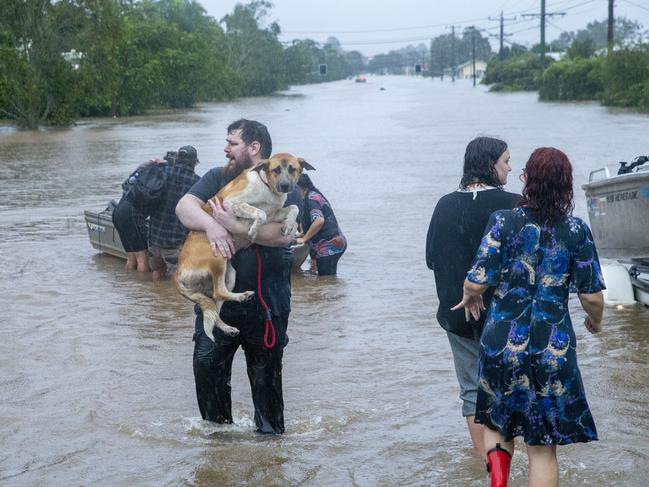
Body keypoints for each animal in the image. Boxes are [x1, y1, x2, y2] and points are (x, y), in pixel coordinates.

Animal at [175, 154, 312, 342]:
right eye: (276, 170)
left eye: (293, 169)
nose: (285, 186)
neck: (267, 187)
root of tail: (178, 272)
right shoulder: (232, 202)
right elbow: (260, 213)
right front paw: (253, 231)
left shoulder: (274, 213)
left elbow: (294, 207)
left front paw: (289, 225)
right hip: (218, 257)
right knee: (218, 293)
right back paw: (242, 296)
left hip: (231, 273)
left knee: (216, 306)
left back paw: (228, 326)